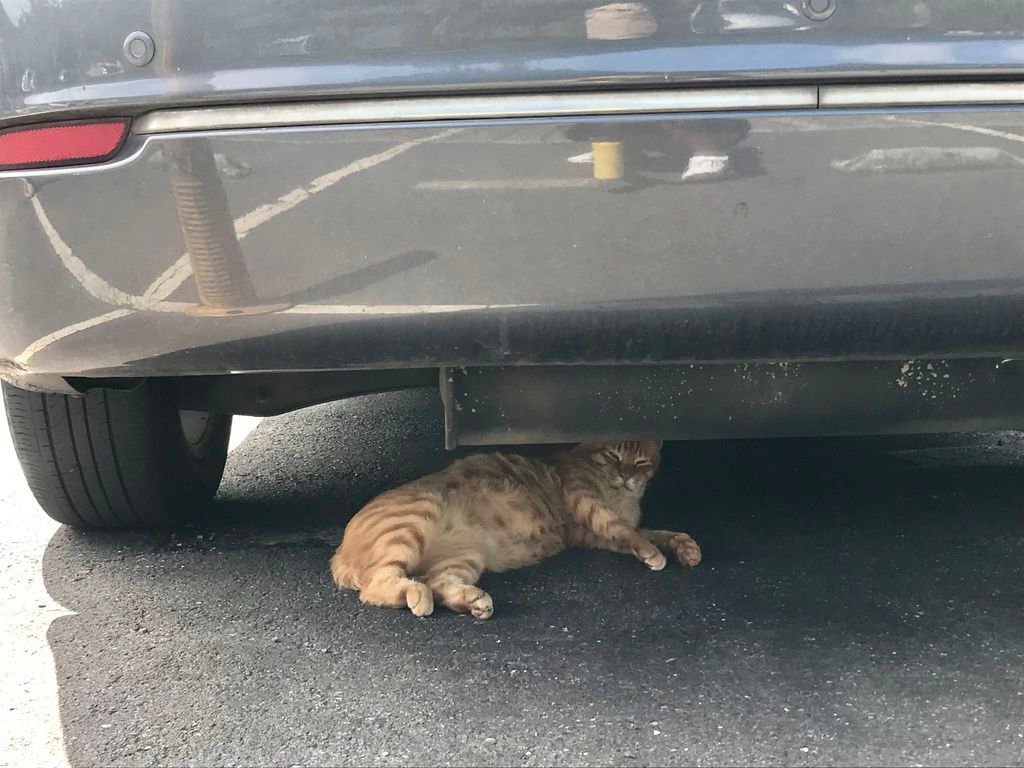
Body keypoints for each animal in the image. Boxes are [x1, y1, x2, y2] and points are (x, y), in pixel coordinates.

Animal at [331, 438, 700, 618]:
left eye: (640, 462)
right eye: (613, 456)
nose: (625, 476)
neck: (621, 496)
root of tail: (339, 553)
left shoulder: (590, 536)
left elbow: (651, 533)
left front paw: (682, 546)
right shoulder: (584, 502)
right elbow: (627, 530)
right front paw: (653, 552)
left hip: (464, 556)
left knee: (438, 582)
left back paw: (473, 601)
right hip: (415, 521)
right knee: (377, 587)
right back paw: (418, 596)